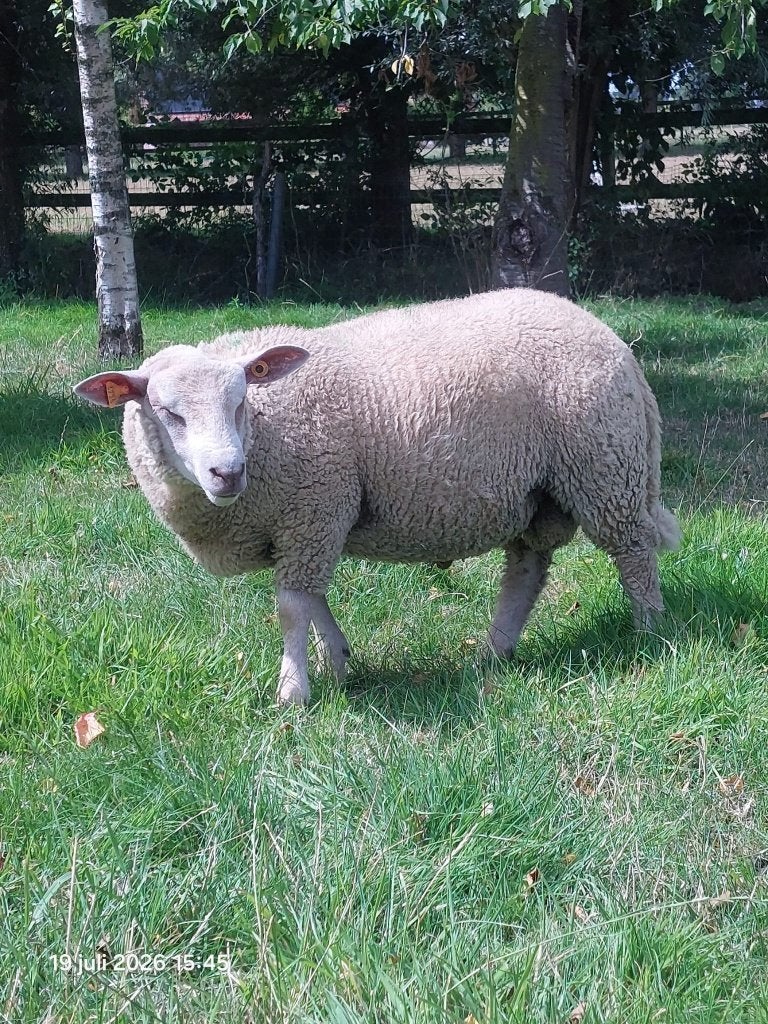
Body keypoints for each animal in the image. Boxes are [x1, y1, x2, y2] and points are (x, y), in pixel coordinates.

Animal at [74, 288, 680, 706]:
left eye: (241, 400)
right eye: (167, 412)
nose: (228, 473)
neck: (268, 431)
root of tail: (610, 338)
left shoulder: (313, 508)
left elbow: (292, 607)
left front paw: (294, 693)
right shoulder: (308, 523)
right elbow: (312, 601)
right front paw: (338, 663)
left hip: (606, 468)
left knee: (633, 553)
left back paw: (648, 633)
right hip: (538, 492)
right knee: (527, 568)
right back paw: (495, 652)